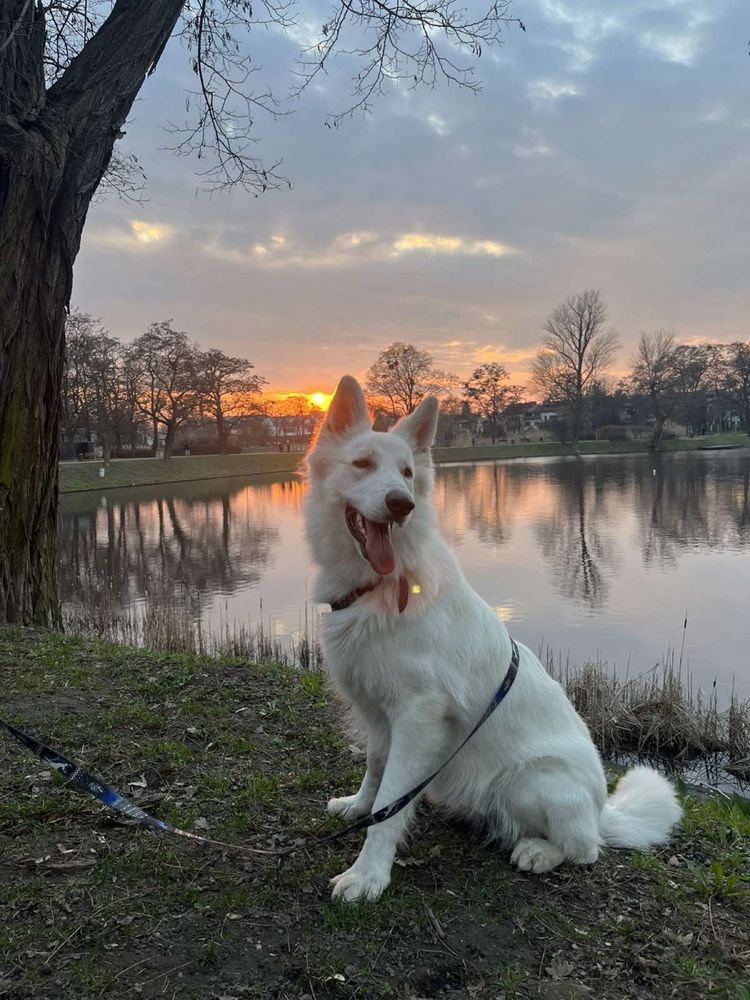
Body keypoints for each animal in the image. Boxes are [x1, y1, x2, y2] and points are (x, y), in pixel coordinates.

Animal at [302, 376, 684, 908]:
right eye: (362, 464)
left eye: (406, 472)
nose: (403, 503)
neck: (382, 584)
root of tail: (601, 808)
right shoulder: (379, 713)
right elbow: (377, 775)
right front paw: (359, 806)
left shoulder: (417, 717)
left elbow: (391, 805)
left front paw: (368, 873)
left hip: (531, 781)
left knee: (586, 848)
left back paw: (540, 851)